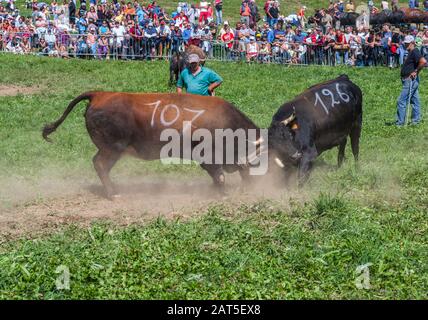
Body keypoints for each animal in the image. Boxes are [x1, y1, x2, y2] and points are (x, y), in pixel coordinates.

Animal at [44, 91, 264, 199]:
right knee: (100, 165)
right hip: (112, 149)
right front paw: (223, 193)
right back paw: (113, 193)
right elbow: (218, 174)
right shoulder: (207, 155)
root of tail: (99, 95)